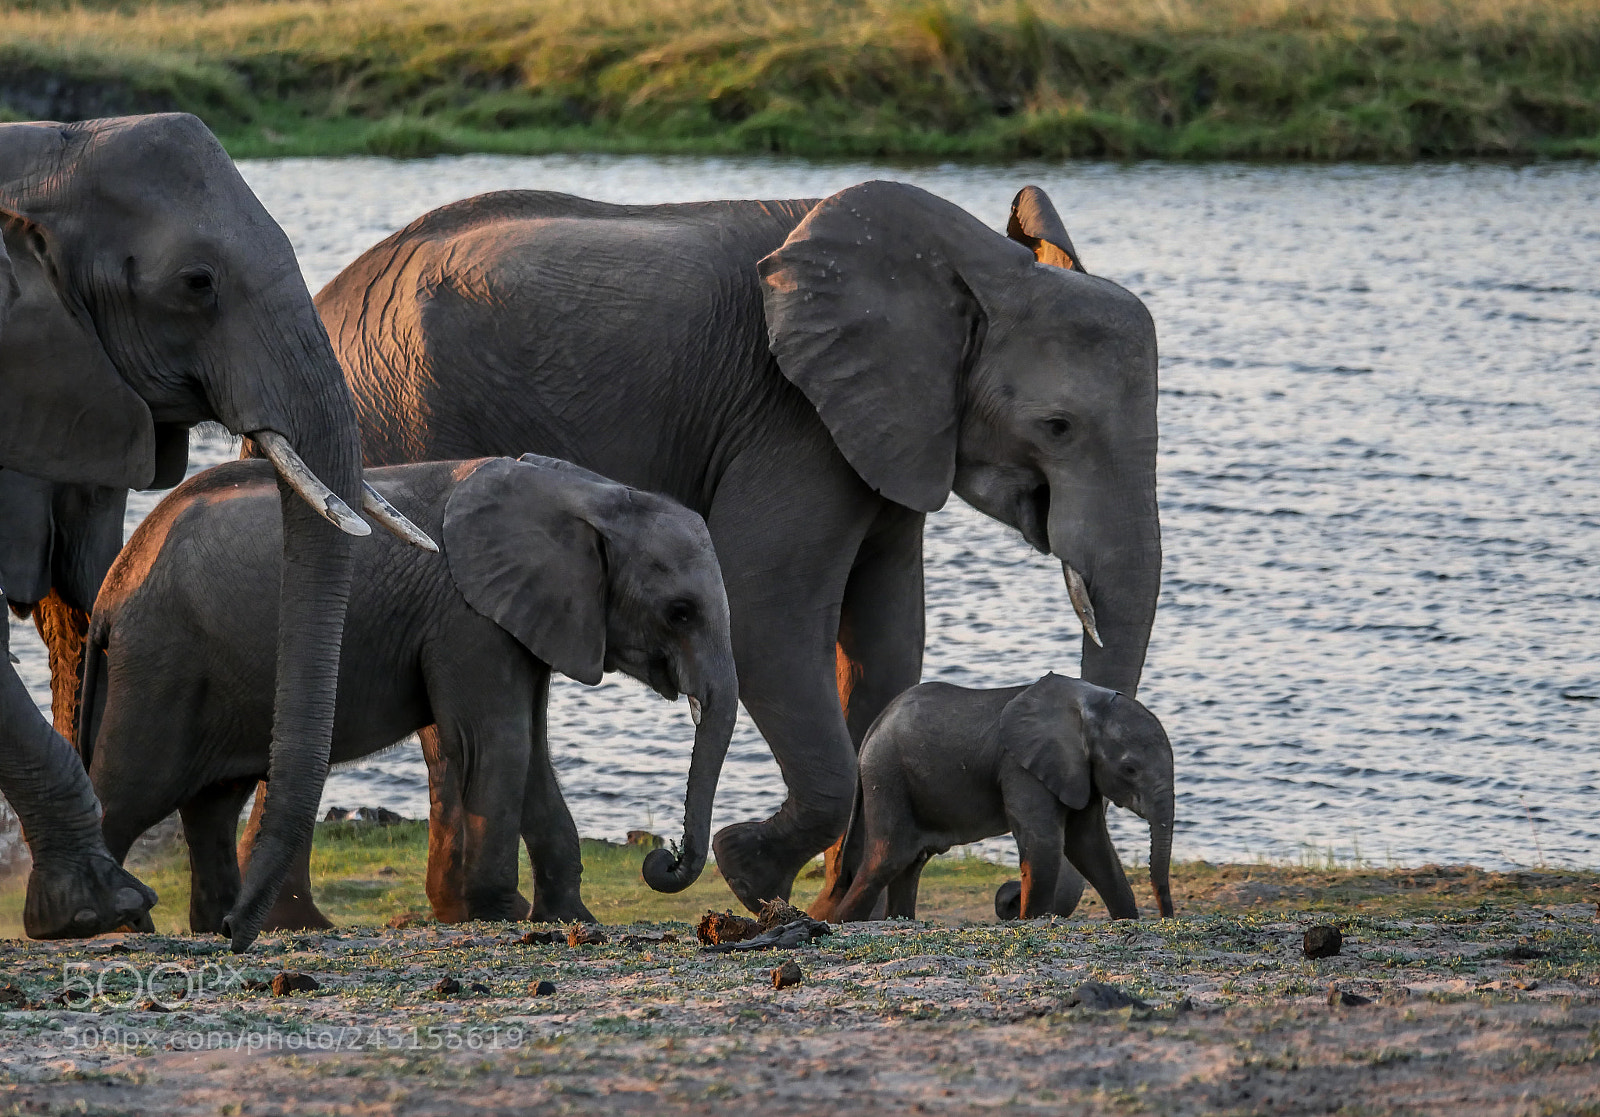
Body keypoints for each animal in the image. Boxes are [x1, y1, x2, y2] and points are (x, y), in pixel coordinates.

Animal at [77, 454, 737, 932]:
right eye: (680, 612)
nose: (663, 857)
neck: (583, 493)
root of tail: (112, 587)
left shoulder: (522, 618)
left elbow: (527, 748)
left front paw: (567, 918)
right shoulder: (466, 616)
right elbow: (498, 742)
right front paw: (501, 914)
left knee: (211, 803)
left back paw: (215, 925)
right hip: (162, 661)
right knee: (131, 789)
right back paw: (103, 923)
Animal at [829, 673, 1175, 923]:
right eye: (1129, 769)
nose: (1166, 919)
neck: (1086, 699)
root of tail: (873, 727)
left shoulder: (1079, 773)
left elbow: (1090, 845)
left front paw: (1127, 919)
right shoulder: (1021, 767)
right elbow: (1044, 842)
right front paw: (1031, 921)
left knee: (910, 864)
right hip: (887, 777)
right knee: (886, 860)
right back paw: (838, 923)